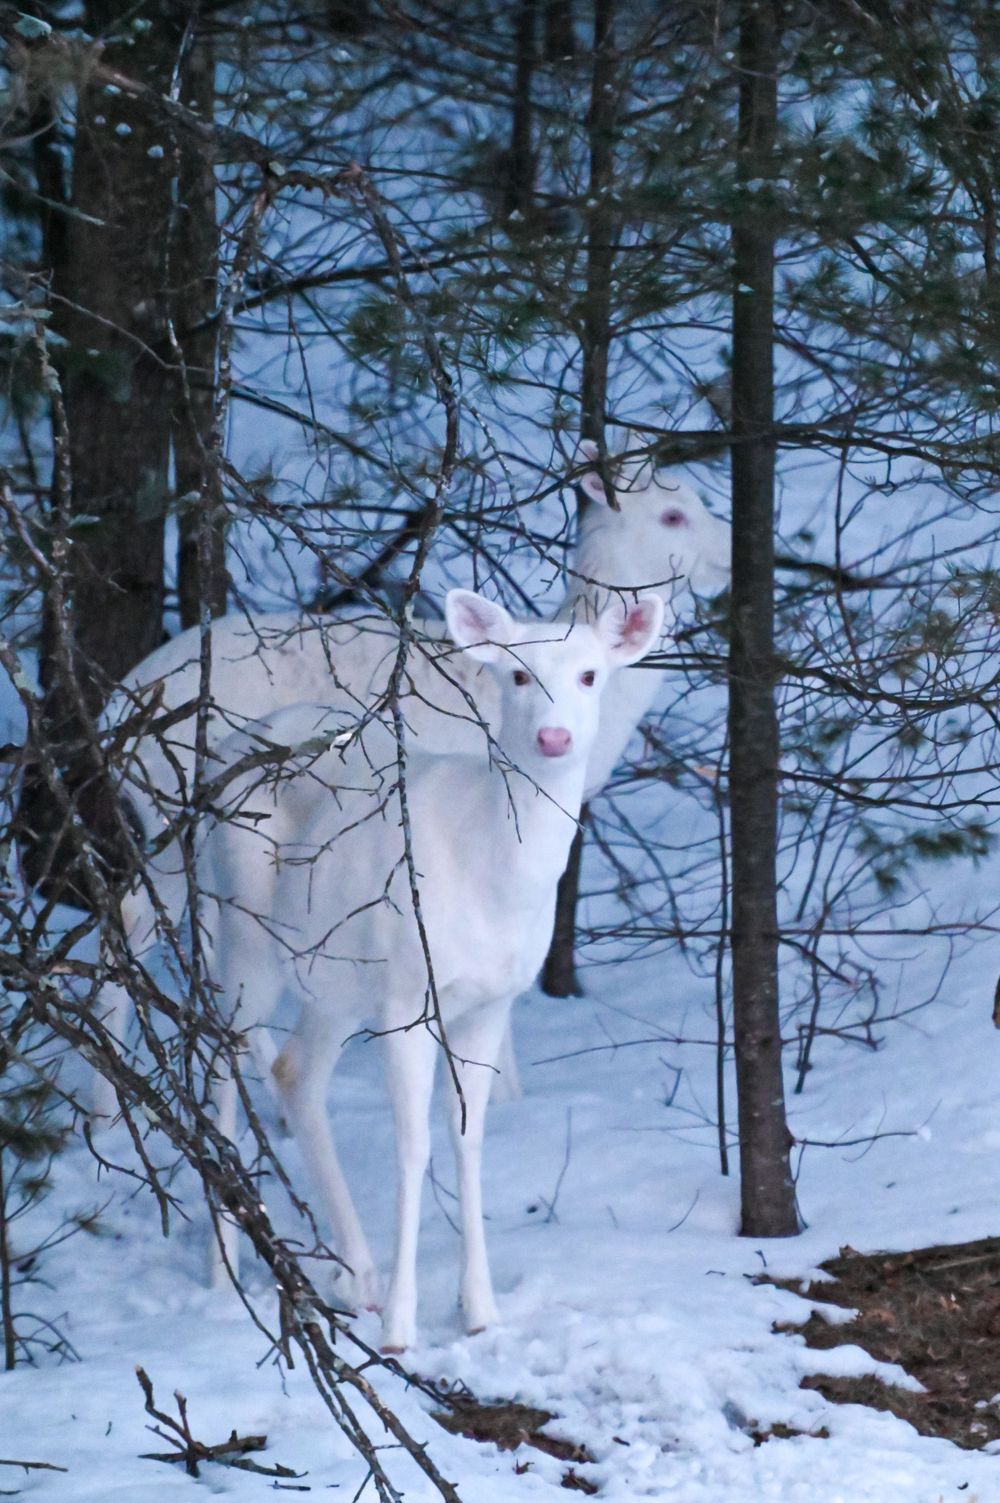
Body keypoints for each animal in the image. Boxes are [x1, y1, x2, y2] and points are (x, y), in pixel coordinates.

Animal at [91, 446, 729, 1119]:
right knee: (142, 920)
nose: (728, 556)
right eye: (673, 515)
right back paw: (119, 1108)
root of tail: (115, 711)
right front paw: (504, 1095)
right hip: (174, 801)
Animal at [199, 587, 665, 1350]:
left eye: (590, 674)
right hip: (244, 931)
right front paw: (401, 1324)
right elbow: (412, 1144)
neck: (494, 876)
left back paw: (356, 1271)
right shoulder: (407, 995)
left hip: (333, 975)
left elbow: (467, 1141)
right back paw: (226, 1267)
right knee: (218, 1050)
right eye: (516, 674)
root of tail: (244, 744)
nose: (554, 738)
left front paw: (480, 1309)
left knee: (296, 1071)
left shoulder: (490, 1001)